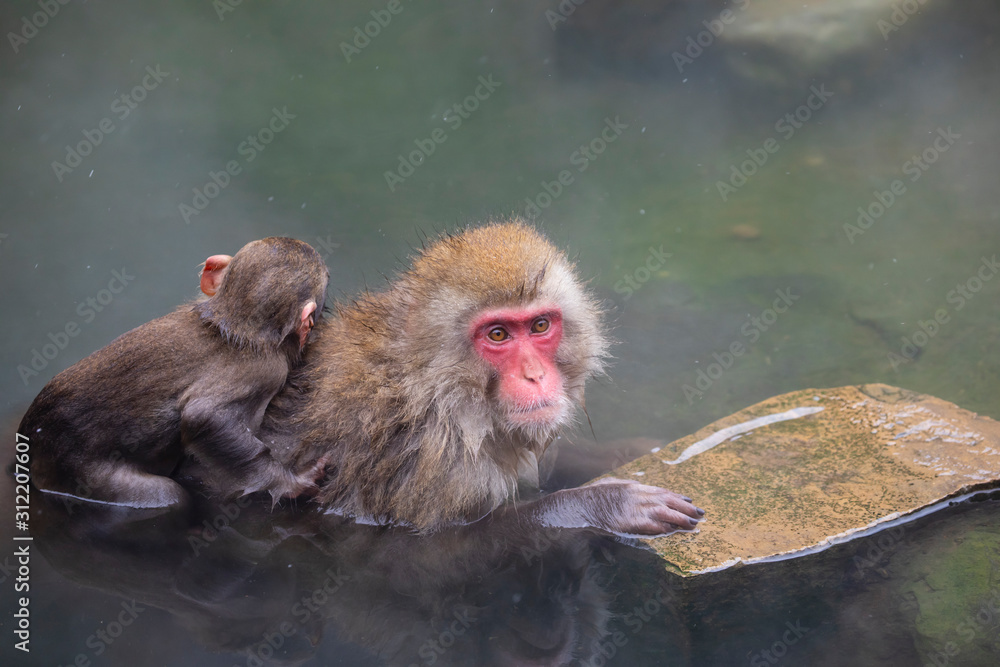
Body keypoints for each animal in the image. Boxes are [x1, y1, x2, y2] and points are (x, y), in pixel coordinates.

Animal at [19, 237, 330, 509]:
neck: (233, 326)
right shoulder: (266, 372)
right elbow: (204, 417)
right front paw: (293, 483)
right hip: (82, 474)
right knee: (167, 495)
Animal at [266, 221, 703, 536]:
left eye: (540, 325)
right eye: (497, 335)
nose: (534, 375)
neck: (433, 392)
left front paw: (634, 450)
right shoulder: (433, 464)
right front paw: (608, 503)